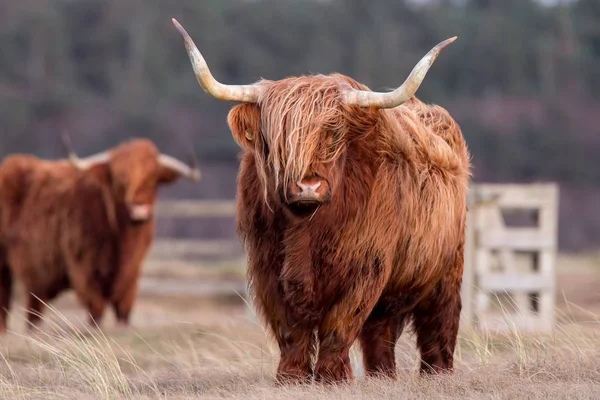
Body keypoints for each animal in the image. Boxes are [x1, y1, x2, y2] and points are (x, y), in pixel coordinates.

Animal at [0, 139, 202, 332]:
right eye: (120, 182)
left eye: (153, 178)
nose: (139, 212)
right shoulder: (84, 267)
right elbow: (95, 306)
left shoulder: (132, 271)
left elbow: (124, 307)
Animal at [171, 19, 472, 384]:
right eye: (277, 140)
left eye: (334, 135)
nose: (307, 186)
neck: (306, 227)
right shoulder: (267, 268)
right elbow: (290, 329)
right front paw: (291, 376)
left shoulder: (365, 265)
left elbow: (340, 323)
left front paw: (331, 376)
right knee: (381, 332)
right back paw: (381, 376)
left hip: (446, 272)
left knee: (439, 323)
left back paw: (437, 374)